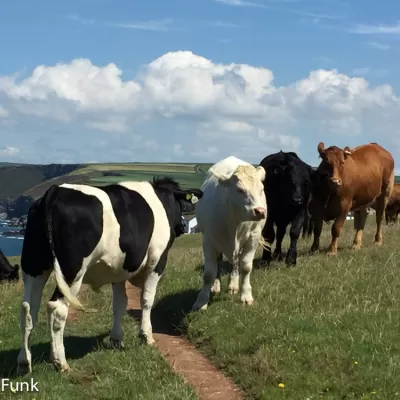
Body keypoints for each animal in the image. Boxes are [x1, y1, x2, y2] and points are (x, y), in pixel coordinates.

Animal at [15, 177, 203, 374]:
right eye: (182, 205)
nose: (182, 226)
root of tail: (55, 191)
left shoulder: (118, 271)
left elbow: (119, 304)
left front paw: (116, 339)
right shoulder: (157, 262)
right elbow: (147, 300)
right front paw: (146, 336)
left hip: (33, 266)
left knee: (28, 308)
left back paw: (24, 361)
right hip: (71, 271)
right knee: (57, 308)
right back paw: (61, 362)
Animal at [192, 155, 268, 310]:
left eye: (261, 189)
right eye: (240, 189)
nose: (260, 211)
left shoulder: (253, 238)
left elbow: (246, 267)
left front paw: (246, 295)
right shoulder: (209, 240)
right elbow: (209, 272)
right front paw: (201, 300)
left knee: (236, 261)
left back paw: (233, 284)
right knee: (219, 262)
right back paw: (216, 286)